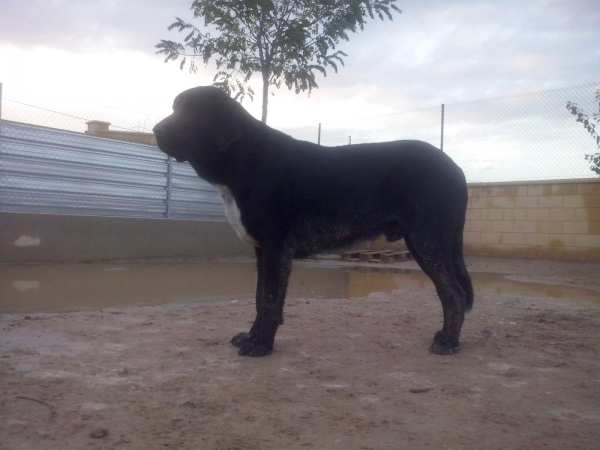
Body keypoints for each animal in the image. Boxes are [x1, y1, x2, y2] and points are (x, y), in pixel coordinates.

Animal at [154, 86, 474, 356]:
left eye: (192, 112)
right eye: (175, 108)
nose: (157, 130)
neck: (245, 158)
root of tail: (456, 169)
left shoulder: (276, 247)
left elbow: (269, 301)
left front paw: (261, 345)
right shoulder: (263, 251)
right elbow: (259, 299)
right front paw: (253, 337)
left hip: (427, 241)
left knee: (454, 294)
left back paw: (448, 342)